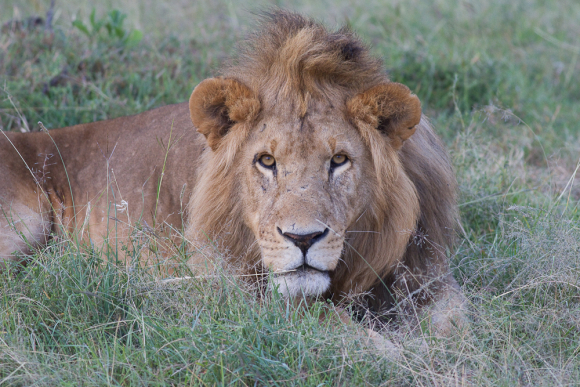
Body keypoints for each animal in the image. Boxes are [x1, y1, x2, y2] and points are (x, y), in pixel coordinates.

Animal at [0, 11, 462, 334]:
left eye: (339, 160)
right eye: (267, 161)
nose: (303, 239)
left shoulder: (425, 273)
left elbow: (456, 321)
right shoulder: (235, 288)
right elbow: (343, 327)